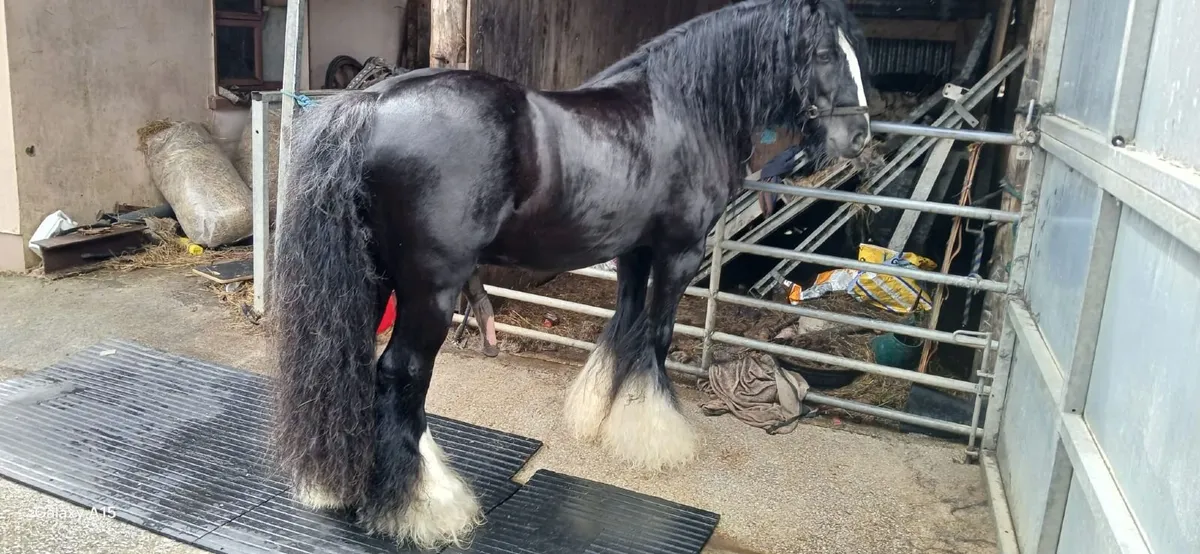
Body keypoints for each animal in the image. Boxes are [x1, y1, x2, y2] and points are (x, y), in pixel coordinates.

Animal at [267, 0, 873, 549]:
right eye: (824, 52)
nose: (859, 137)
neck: (680, 108)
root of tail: (372, 104)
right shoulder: (679, 253)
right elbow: (658, 335)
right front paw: (656, 433)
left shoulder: (634, 252)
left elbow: (624, 326)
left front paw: (604, 414)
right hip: (429, 289)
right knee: (402, 374)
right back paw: (427, 507)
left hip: (374, 279)